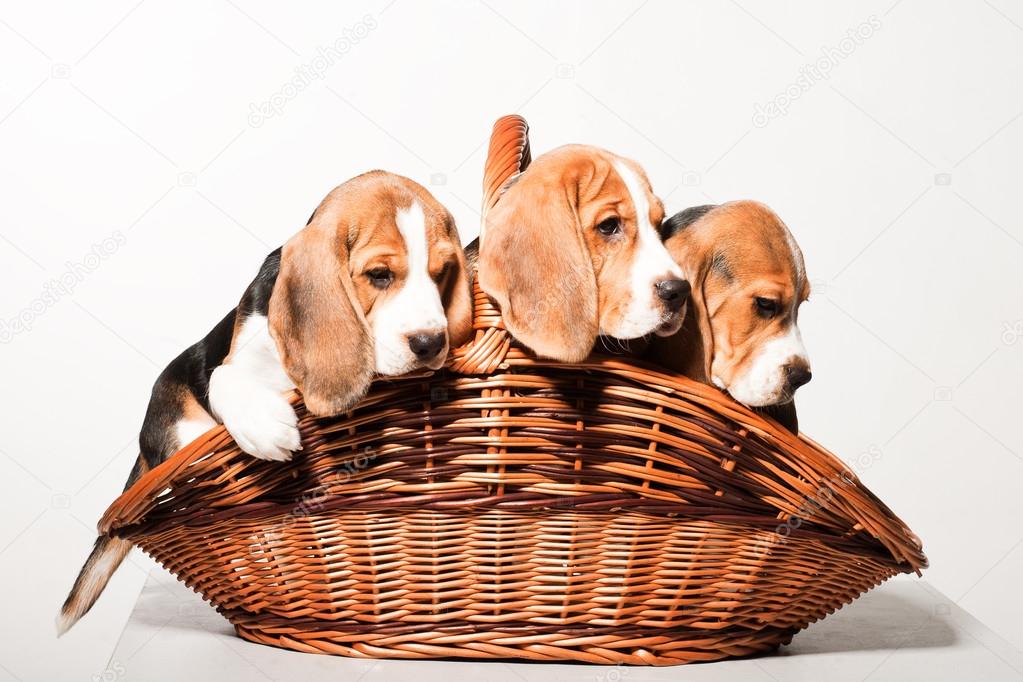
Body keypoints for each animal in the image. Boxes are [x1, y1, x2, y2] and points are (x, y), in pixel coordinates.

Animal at [62, 169, 474, 633]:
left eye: (442, 272)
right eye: (380, 274)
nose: (430, 343)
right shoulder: (241, 354)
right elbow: (223, 376)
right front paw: (265, 426)